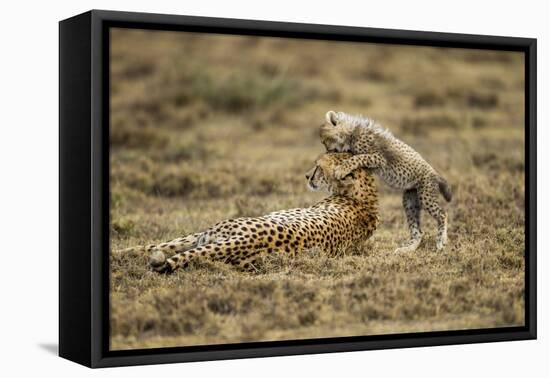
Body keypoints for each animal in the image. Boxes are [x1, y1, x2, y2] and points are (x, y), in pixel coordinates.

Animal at [119, 152, 382, 274]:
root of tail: (249, 239)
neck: (364, 196)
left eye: (318, 167)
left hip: (212, 234)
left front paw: (120, 251)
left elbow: (159, 244)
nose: (307, 176)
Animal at [320, 110, 452, 252]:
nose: (327, 151)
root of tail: (435, 173)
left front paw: (341, 169)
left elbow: (357, 158)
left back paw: (441, 241)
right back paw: (407, 249)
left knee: (443, 214)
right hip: (410, 202)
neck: (351, 133)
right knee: (418, 232)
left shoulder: (378, 158)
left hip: (425, 195)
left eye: (325, 140)